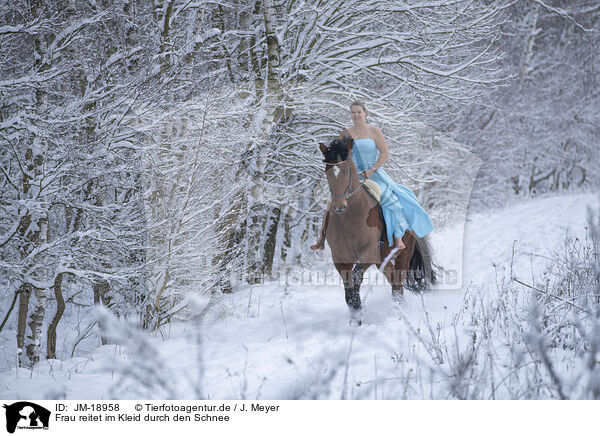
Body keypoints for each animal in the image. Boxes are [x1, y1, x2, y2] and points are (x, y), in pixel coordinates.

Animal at [322, 136, 434, 324]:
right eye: (327, 172)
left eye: (346, 171)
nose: (339, 207)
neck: (348, 218)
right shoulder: (340, 258)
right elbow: (348, 286)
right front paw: (355, 317)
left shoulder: (368, 252)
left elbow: (356, 277)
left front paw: (357, 310)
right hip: (383, 258)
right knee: (393, 279)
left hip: (405, 252)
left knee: (398, 282)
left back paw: (398, 315)